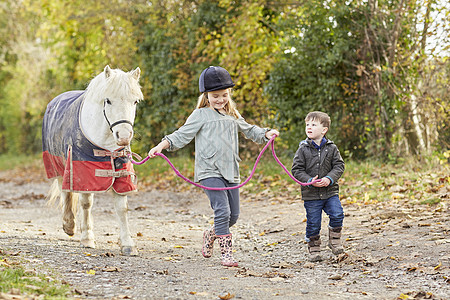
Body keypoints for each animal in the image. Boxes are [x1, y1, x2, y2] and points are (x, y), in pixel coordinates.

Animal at [42, 66, 142, 255]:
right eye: (108, 101)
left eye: (135, 102)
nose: (124, 137)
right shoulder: (82, 169)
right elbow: (86, 203)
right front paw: (87, 238)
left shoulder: (120, 173)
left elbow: (122, 208)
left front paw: (127, 244)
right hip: (59, 165)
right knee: (66, 191)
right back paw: (69, 225)